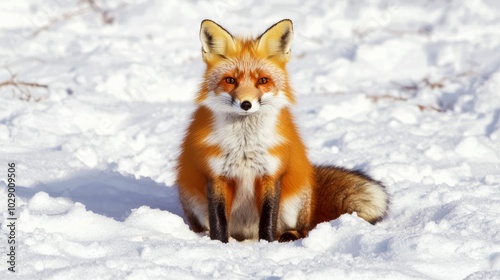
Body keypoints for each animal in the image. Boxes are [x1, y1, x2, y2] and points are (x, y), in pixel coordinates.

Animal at [177, 19, 390, 243]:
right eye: (230, 80)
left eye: (262, 80)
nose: (246, 104)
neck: (244, 145)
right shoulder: (216, 175)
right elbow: (218, 221)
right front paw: (219, 244)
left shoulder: (271, 174)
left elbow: (268, 219)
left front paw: (267, 244)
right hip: (192, 199)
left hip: (294, 203)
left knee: (303, 229)